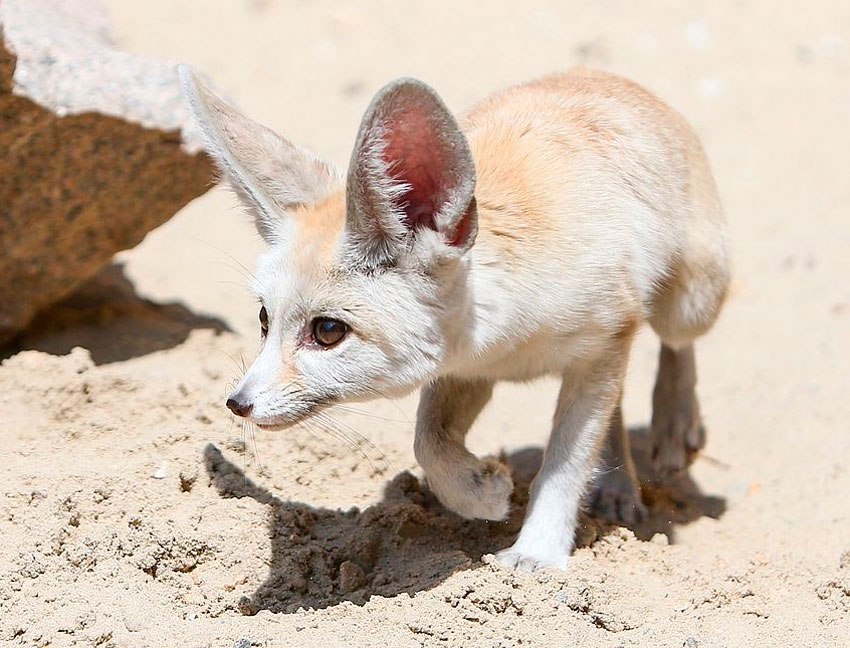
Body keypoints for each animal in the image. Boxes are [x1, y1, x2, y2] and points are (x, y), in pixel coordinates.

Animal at [181, 67, 728, 572]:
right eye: (263, 319)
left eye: (328, 331)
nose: (236, 403)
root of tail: (603, 75)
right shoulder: (467, 370)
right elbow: (428, 443)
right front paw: (481, 492)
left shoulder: (602, 343)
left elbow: (565, 465)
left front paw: (536, 552)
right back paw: (618, 484)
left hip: (690, 303)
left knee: (677, 345)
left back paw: (673, 422)